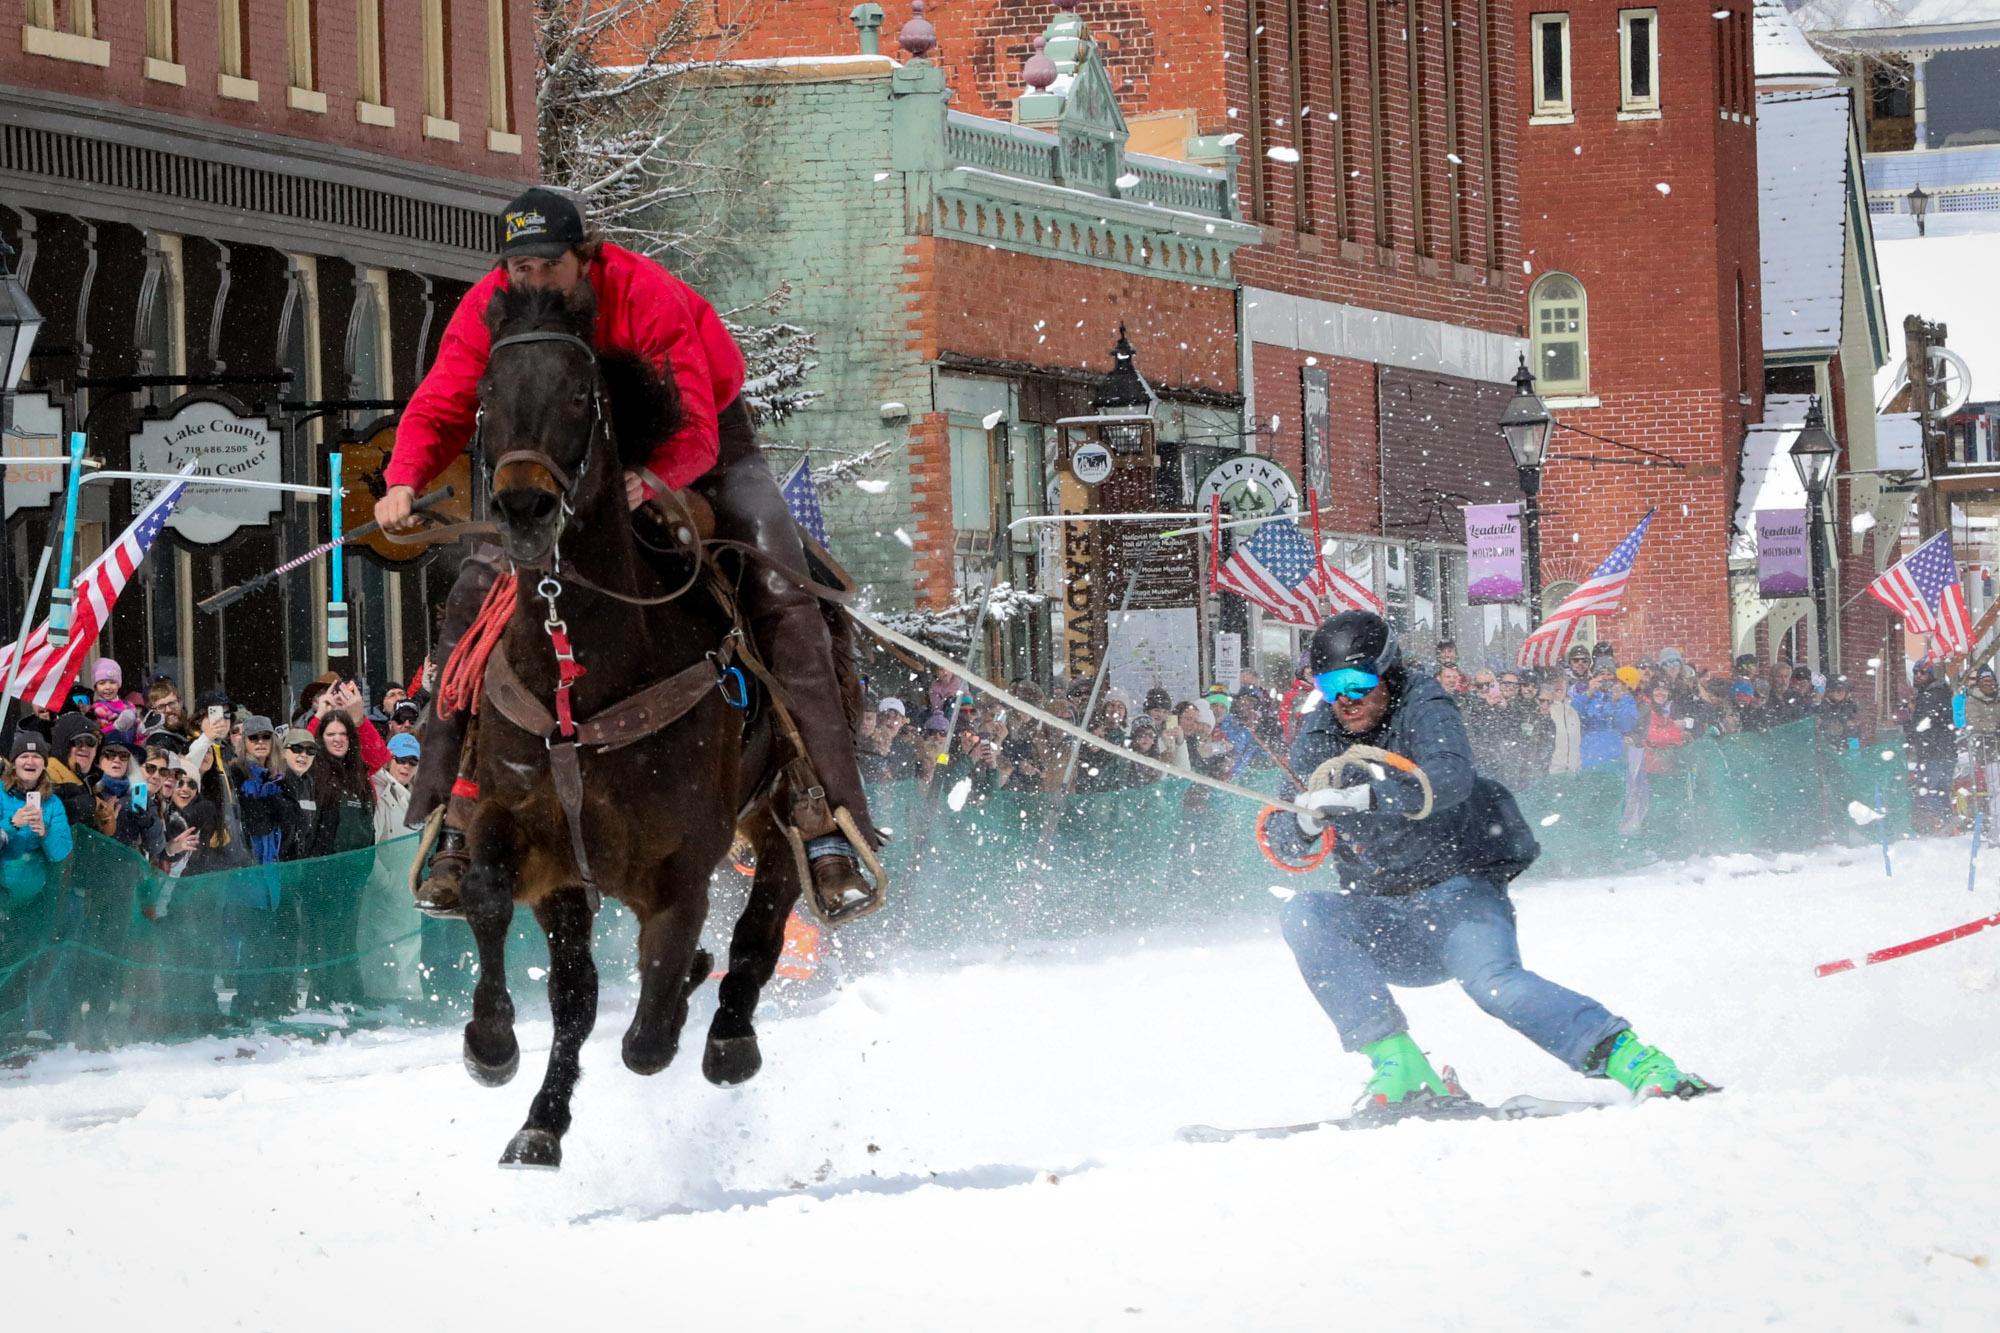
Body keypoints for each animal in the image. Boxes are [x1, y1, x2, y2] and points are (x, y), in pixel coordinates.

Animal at [460, 280, 812, 1160]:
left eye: (579, 395)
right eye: (486, 394)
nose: (523, 506)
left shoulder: (682, 866)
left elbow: (649, 1036)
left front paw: (686, 1001)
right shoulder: (528, 834)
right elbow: (505, 916)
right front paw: (495, 1046)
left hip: (782, 806)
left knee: (765, 916)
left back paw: (728, 1034)